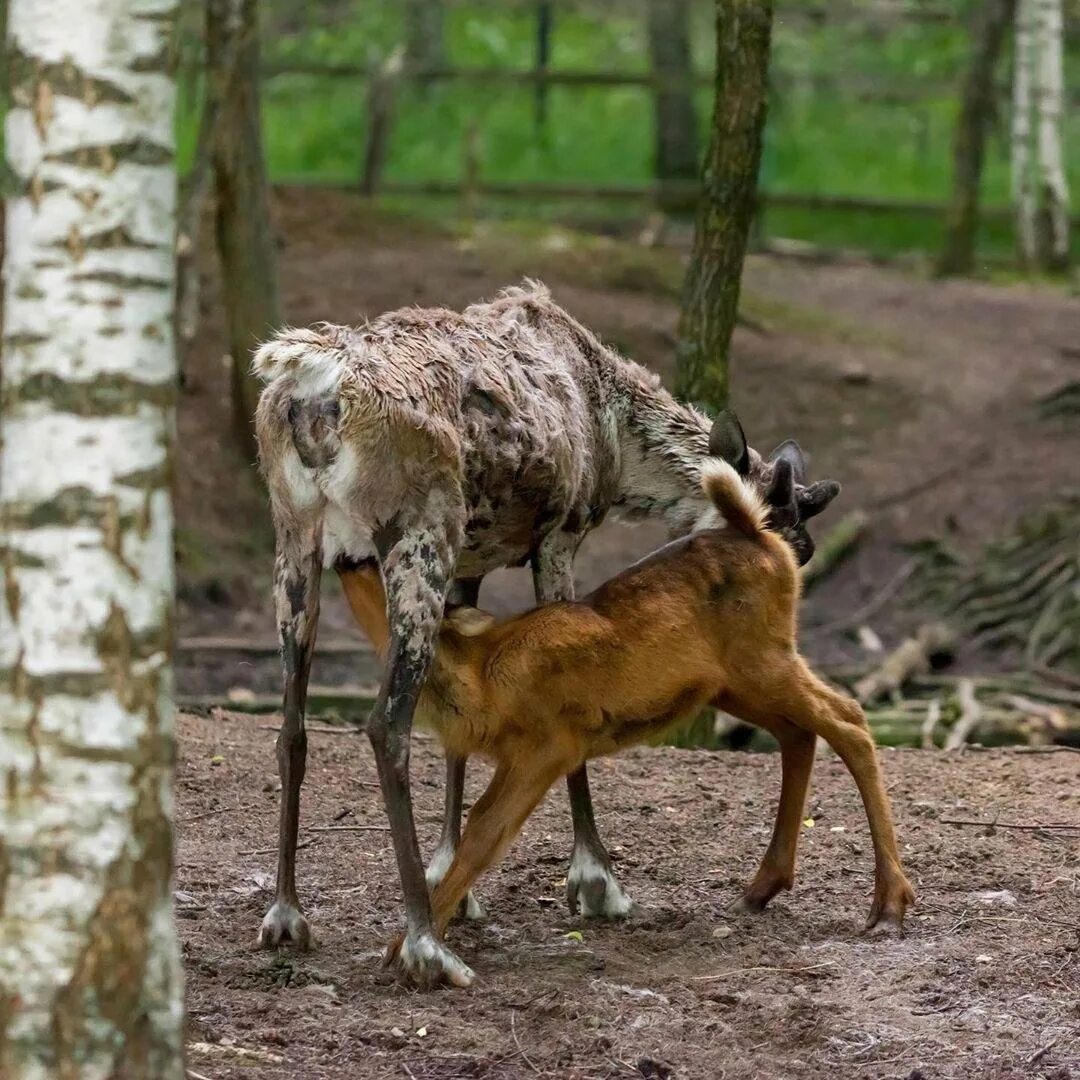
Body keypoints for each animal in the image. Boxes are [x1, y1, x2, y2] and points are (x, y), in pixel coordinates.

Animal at [343, 455, 911, 989]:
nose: (349, 555)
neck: (478, 679)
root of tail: (763, 538)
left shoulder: (549, 744)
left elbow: (486, 833)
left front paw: (410, 950)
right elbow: (479, 828)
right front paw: (411, 944)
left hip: (766, 660)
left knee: (849, 719)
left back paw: (888, 904)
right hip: (735, 685)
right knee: (800, 732)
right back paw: (760, 889)